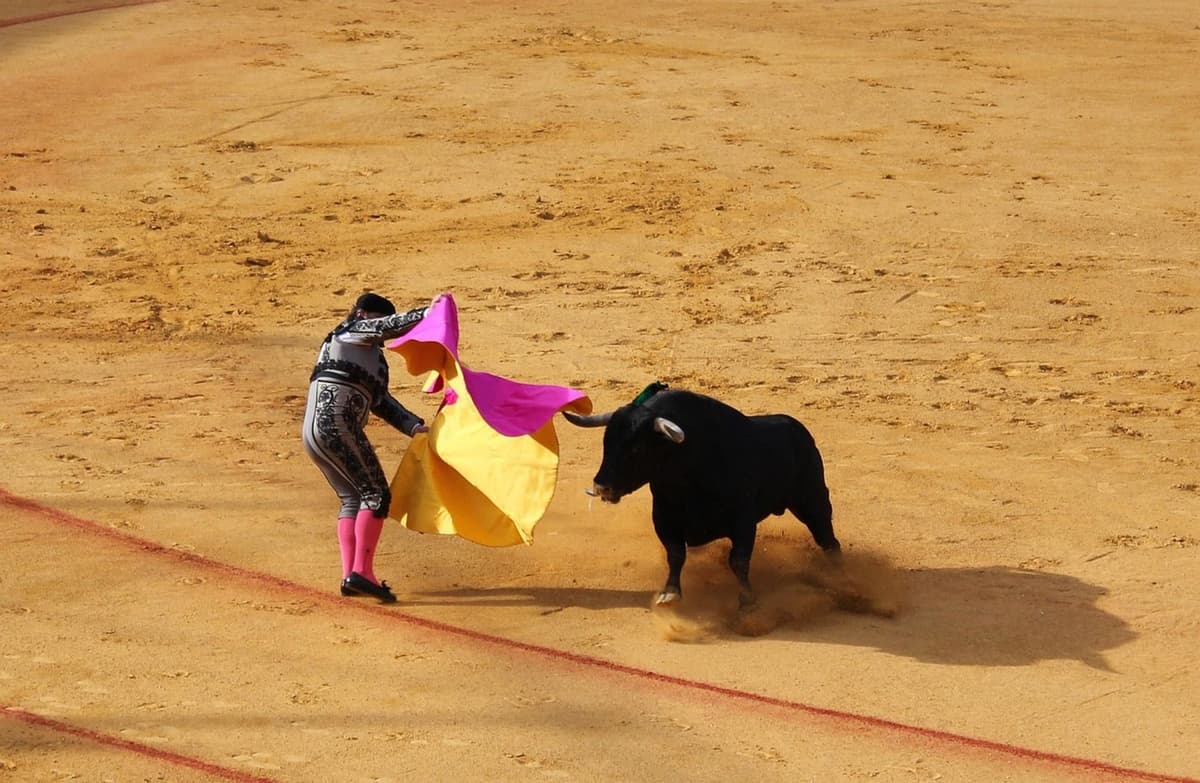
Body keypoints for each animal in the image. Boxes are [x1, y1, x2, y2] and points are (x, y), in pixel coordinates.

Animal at [563, 383, 840, 608]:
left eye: (637, 449)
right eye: (606, 443)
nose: (601, 487)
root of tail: (800, 431)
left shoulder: (743, 520)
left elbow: (738, 561)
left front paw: (747, 600)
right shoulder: (664, 518)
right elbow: (676, 555)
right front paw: (670, 593)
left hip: (812, 499)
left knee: (827, 538)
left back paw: (838, 573)